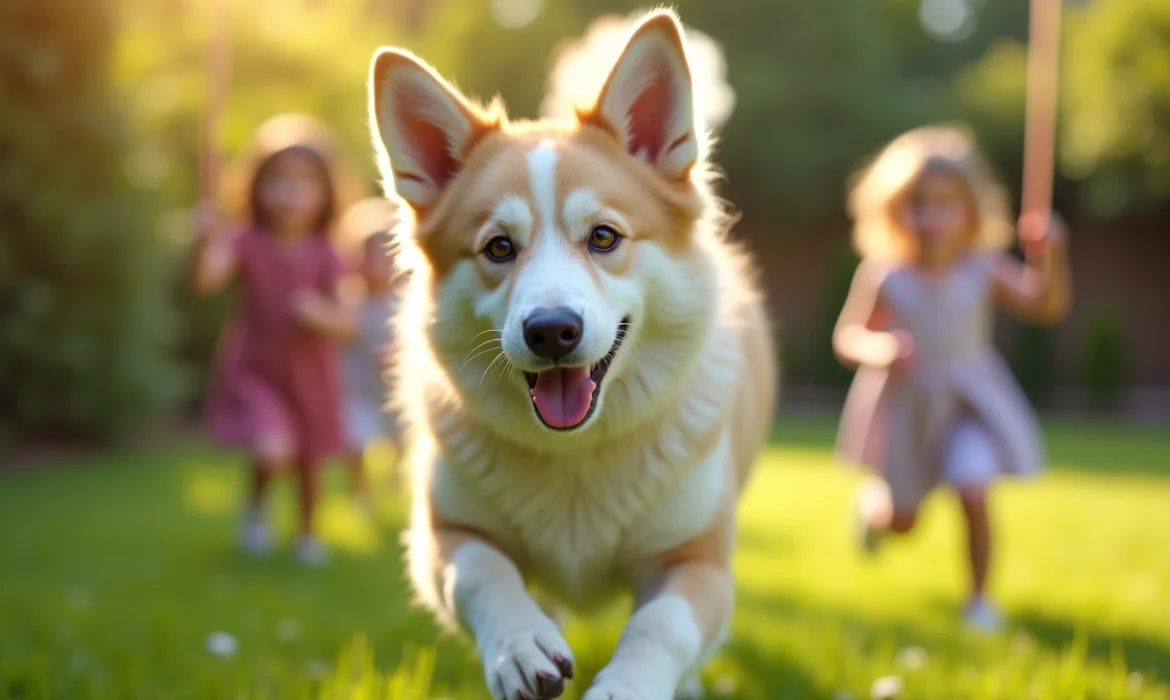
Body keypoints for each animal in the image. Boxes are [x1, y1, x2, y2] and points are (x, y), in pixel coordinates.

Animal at [365, 10, 776, 700]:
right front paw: (520, 645)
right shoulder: (442, 537)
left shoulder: (698, 561)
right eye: (499, 248)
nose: (551, 331)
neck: (576, 452)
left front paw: (630, 685)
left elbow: (661, 625)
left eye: (604, 237)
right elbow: (481, 574)